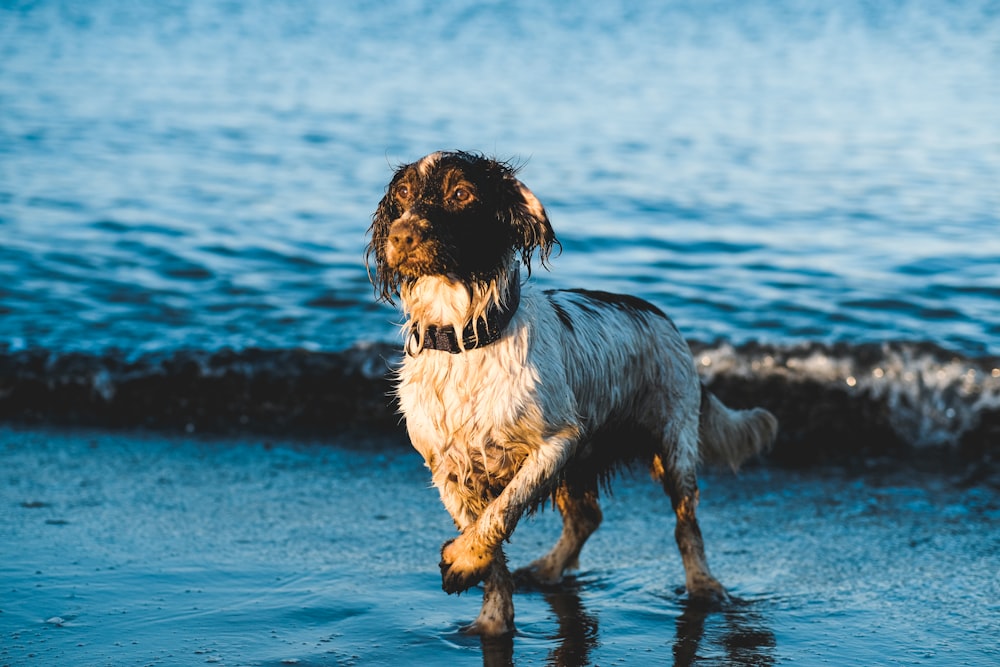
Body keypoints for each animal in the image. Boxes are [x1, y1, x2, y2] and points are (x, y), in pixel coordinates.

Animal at [364, 150, 776, 636]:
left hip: (670, 445)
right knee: (586, 517)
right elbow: (491, 545)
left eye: (461, 193)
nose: (402, 235)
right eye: (403, 193)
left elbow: (501, 511)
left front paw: (463, 561)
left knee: (685, 526)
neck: (465, 339)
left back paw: (704, 587)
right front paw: (492, 620)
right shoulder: (447, 465)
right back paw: (547, 570)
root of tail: (664, 318)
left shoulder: (557, 441)